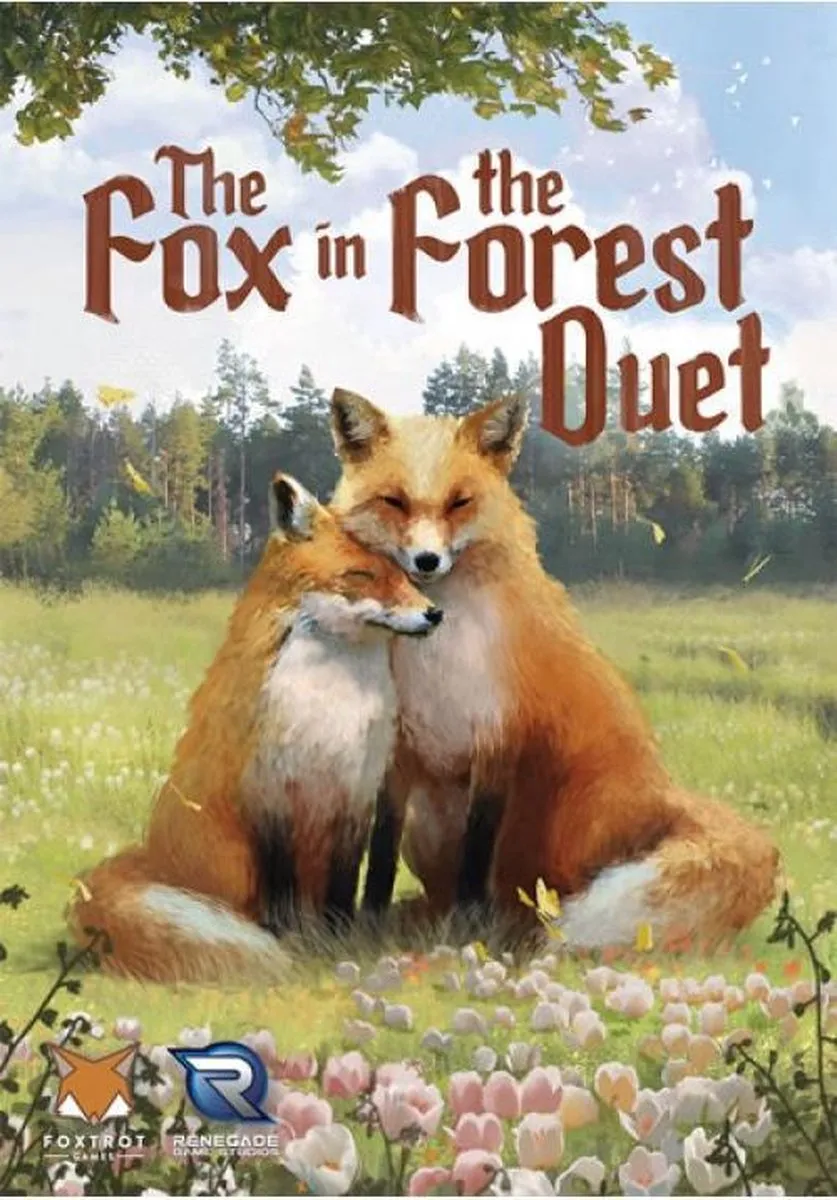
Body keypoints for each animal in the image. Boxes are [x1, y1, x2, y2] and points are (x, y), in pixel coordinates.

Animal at [67, 473, 442, 983]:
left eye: (406, 574)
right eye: (361, 576)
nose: (435, 613)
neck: (329, 708)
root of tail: (150, 858)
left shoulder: (356, 794)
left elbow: (344, 884)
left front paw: (340, 939)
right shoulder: (269, 792)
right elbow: (279, 888)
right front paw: (288, 939)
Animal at [328, 388, 779, 949]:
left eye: (459, 502)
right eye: (394, 502)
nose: (427, 561)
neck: (436, 657)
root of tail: (664, 792)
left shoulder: (498, 740)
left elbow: (477, 853)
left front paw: (467, 930)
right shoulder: (398, 752)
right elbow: (381, 852)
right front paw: (365, 925)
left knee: (541, 894)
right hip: (429, 822)